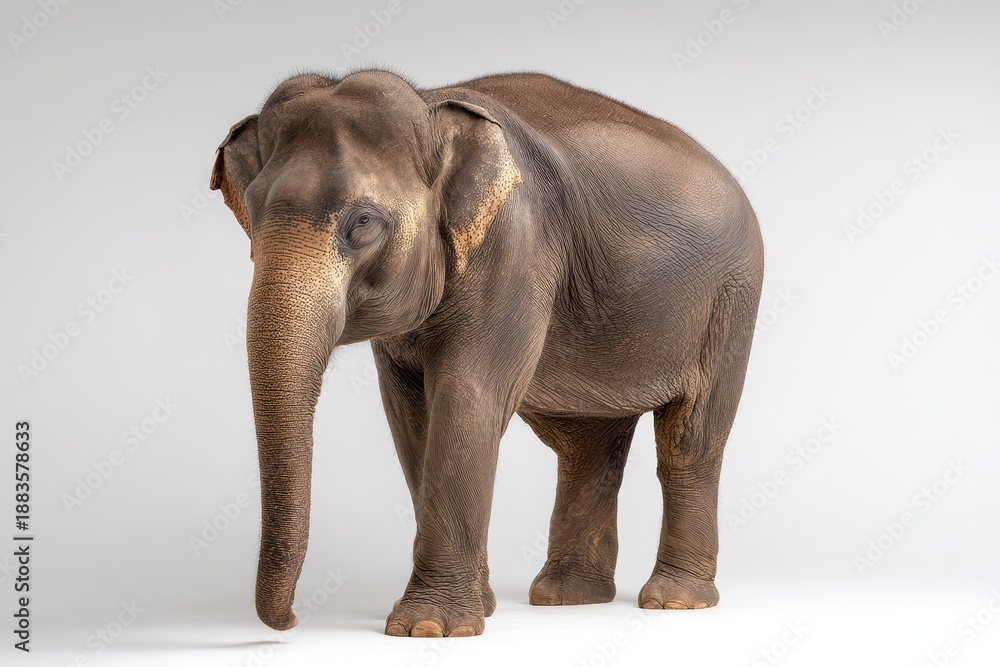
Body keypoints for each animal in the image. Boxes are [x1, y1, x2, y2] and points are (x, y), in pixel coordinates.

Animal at [209, 69, 763, 638]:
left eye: (361, 222)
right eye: (252, 212)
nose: (293, 620)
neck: (432, 109)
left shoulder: (516, 247)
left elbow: (467, 397)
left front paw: (426, 629)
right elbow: (410, 416)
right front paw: (479, 608)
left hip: (730, 303)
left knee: (689, 441)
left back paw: (674, 601)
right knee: (588, 447)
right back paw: (567, 598)